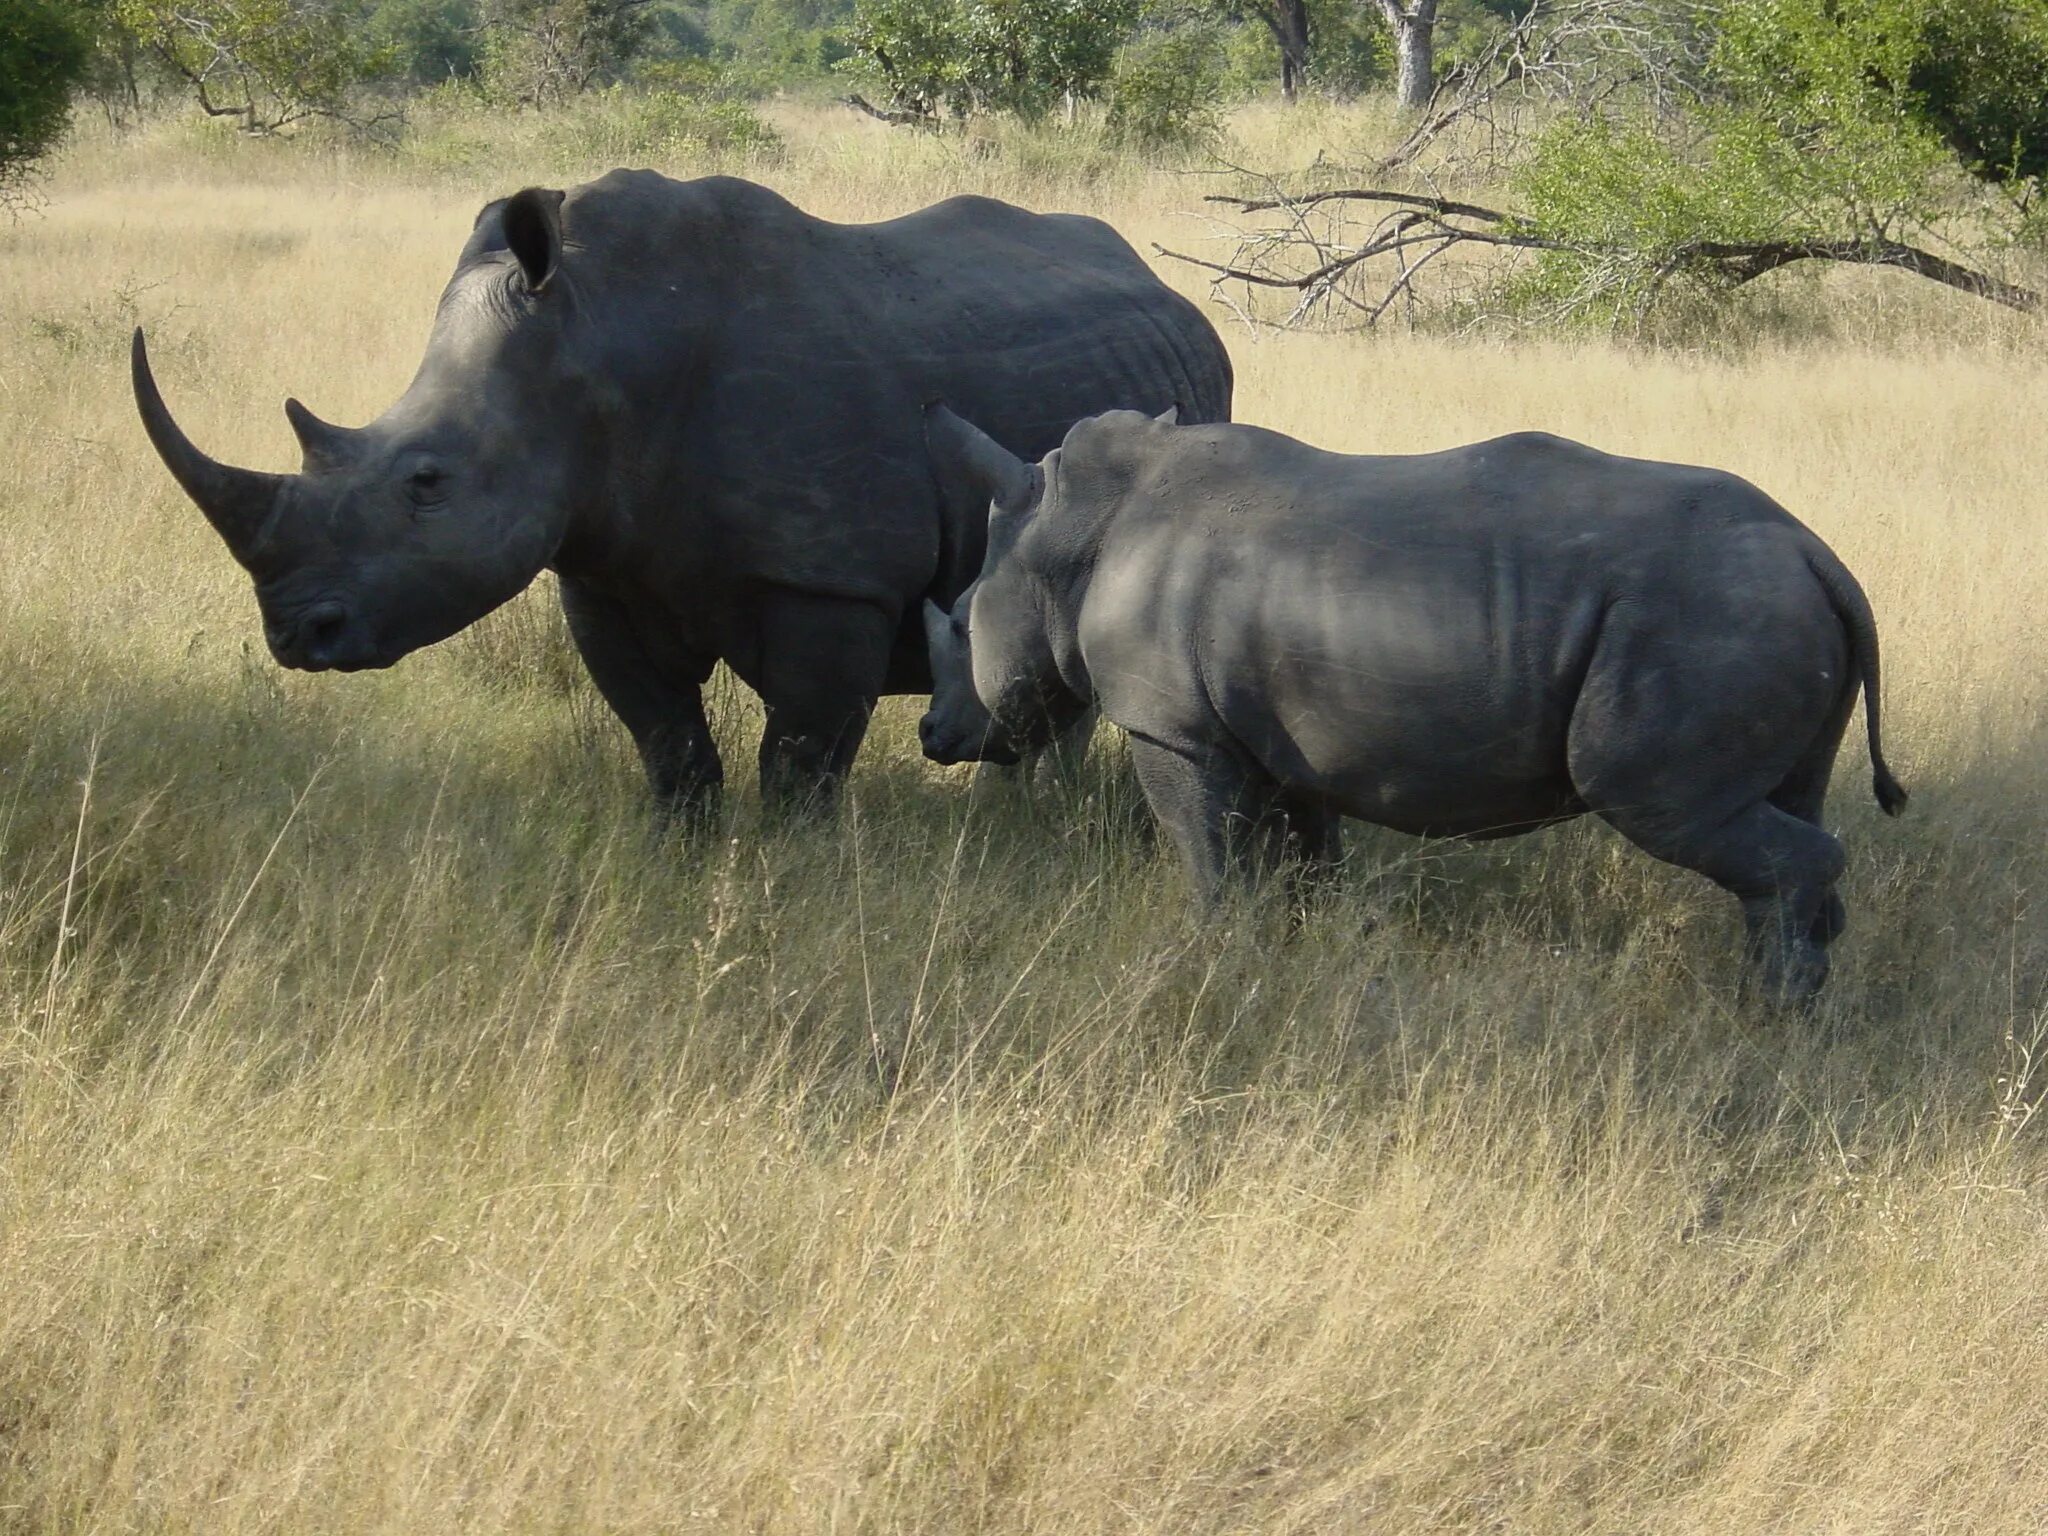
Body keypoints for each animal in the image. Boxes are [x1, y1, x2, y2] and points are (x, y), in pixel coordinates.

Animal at [136, 167, 1220, 811]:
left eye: (427, 483)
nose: (295, 634)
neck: (600, 342)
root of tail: (1173, 296)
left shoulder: (832, 578)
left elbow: (798, 762)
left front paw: (790, 883)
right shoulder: (599, 563)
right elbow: (665, 740)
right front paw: (680, 861)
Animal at [917, 409, 1900, 1003]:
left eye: (961, 622)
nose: (933, 735)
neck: (1067, 535)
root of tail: (1821, 557)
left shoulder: (1175, 730)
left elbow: (1210, 856)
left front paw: (1209, 956)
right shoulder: (1286, 736)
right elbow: (1304, 862)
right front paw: (1299, 953)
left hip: (1706, 619)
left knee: (1662, 799)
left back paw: (1769, 1016)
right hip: (1758, 609)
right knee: (1780, 798)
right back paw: (1795, 1001)